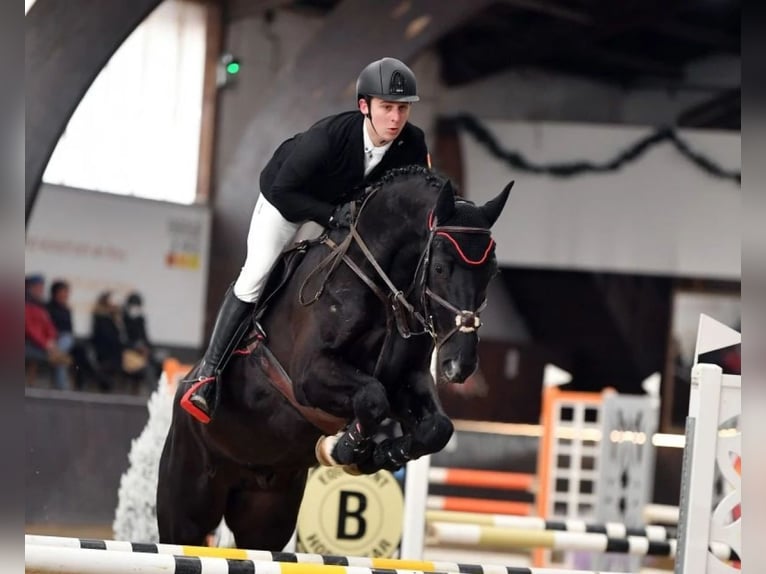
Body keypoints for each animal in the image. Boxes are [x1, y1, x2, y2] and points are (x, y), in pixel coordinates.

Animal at [158, 166, 512, 552]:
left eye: (493, 272)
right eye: (442, 269)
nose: (459, 365)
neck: (380, 285)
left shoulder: (407, 379)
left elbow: (436, 427)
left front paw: (383, 454)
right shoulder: (309, 376)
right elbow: (372, 398)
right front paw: (345, 448)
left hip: (267, 514)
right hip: (188, 507)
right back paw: (202, 393)